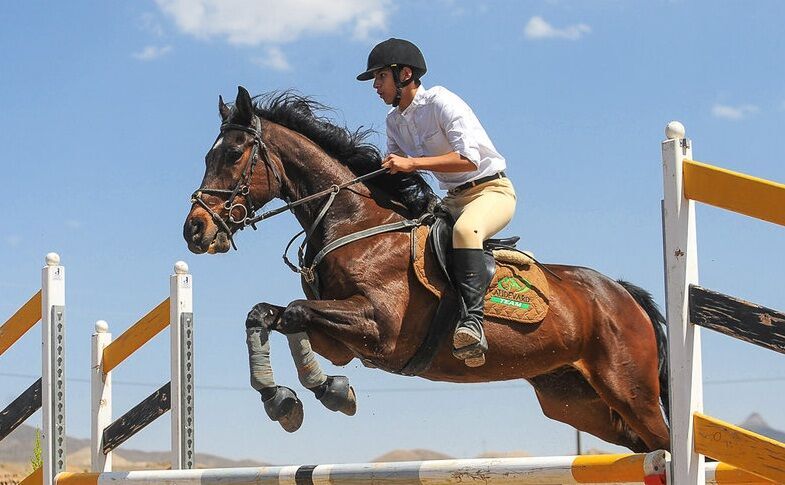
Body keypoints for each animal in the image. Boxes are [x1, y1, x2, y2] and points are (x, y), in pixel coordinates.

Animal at [182, 86, 668, 450]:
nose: (194, 230)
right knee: (642, 447)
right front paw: (287, 399)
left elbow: (296, 311)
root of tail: (622, 293)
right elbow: (268, 314)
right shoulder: (343, 342)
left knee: (664, 443)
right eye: (207, 157)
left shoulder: (380, 327)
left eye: (235, 154)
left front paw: (325, 392)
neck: (355, 222)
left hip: (631, 389)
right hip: (575, 399)